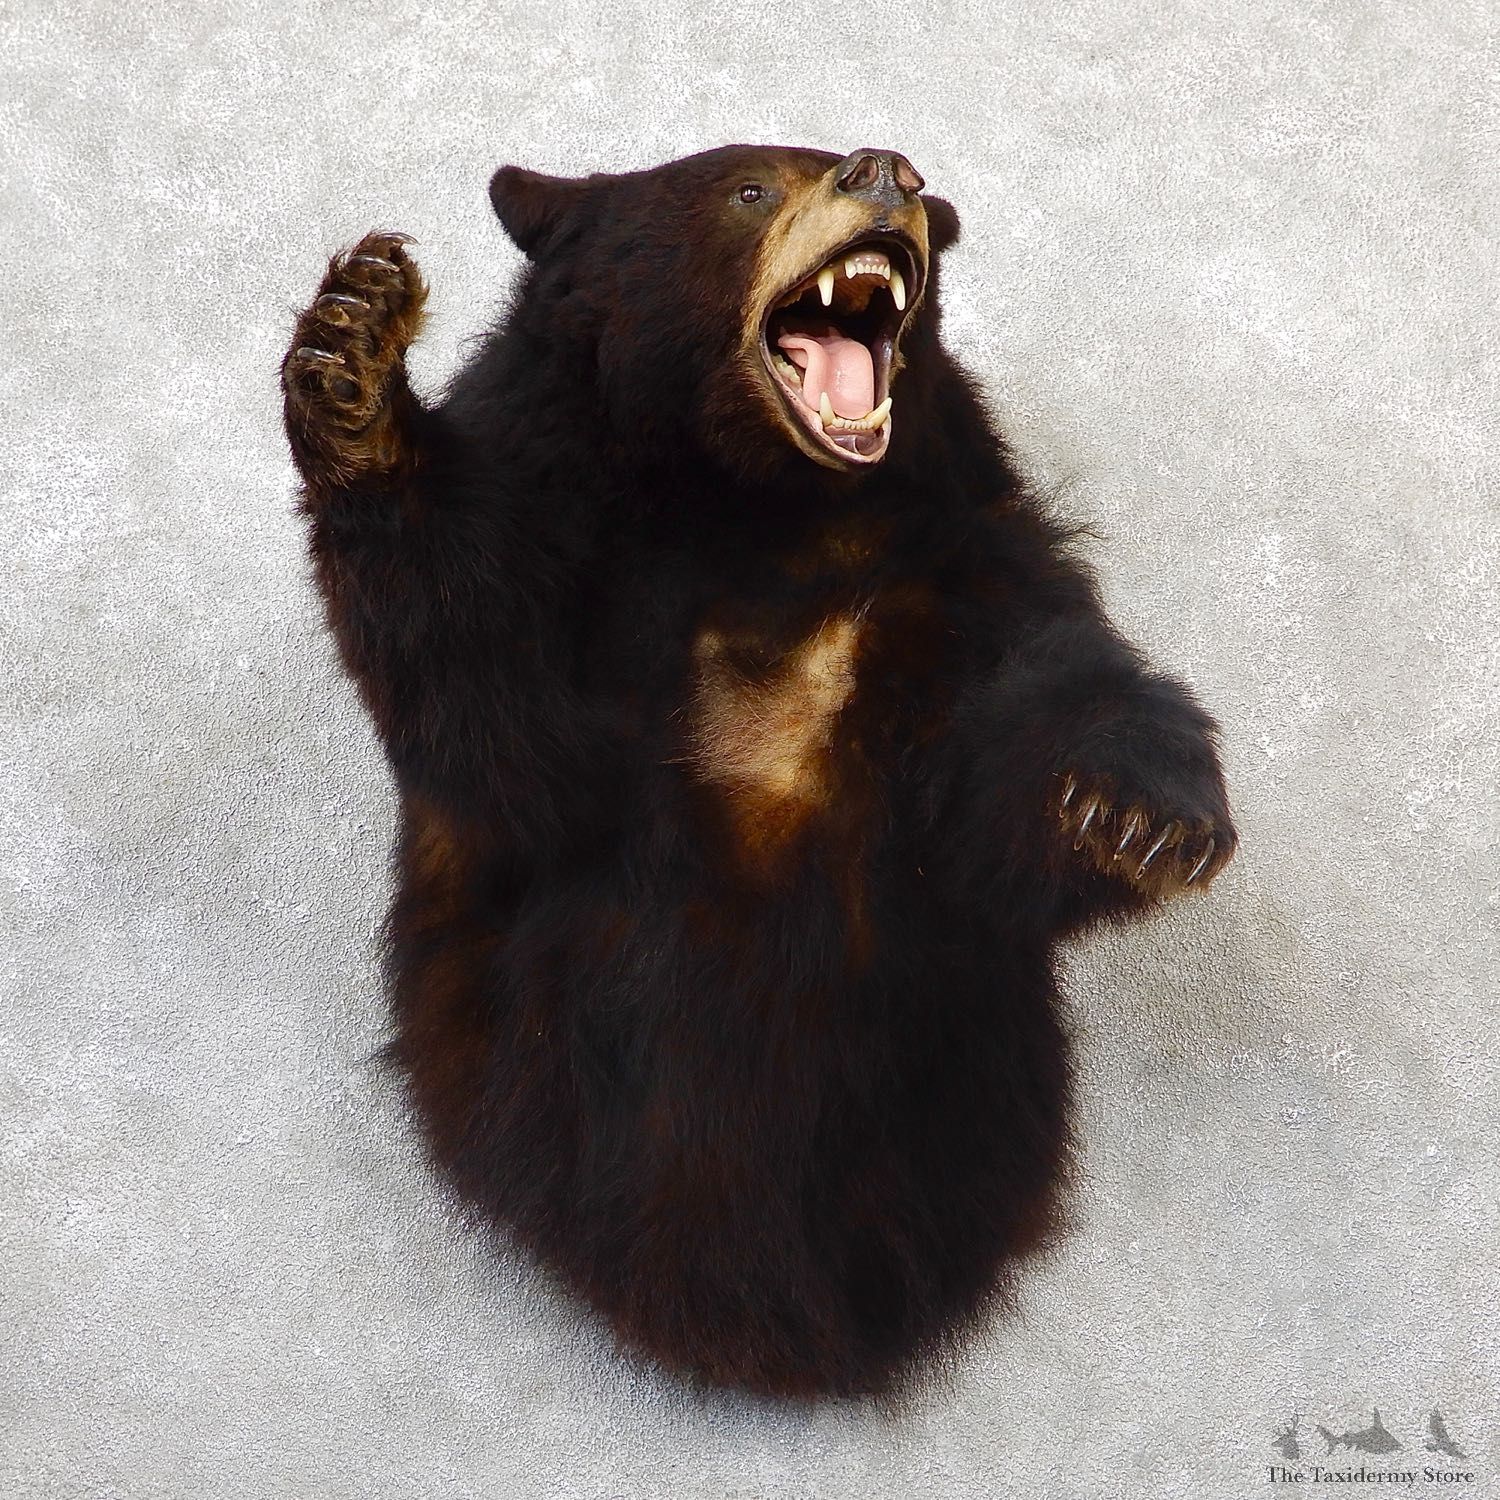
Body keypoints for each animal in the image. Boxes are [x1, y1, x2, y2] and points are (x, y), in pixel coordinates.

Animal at [280, 144, 1236, 1401]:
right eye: (747, 190)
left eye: (918, 203)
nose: (890, 170)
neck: (757, 511)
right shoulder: (565, 534)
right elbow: (499, 722)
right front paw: (353, 350)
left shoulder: (960, 561)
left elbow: (1032, 729)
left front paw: (1139, 817)